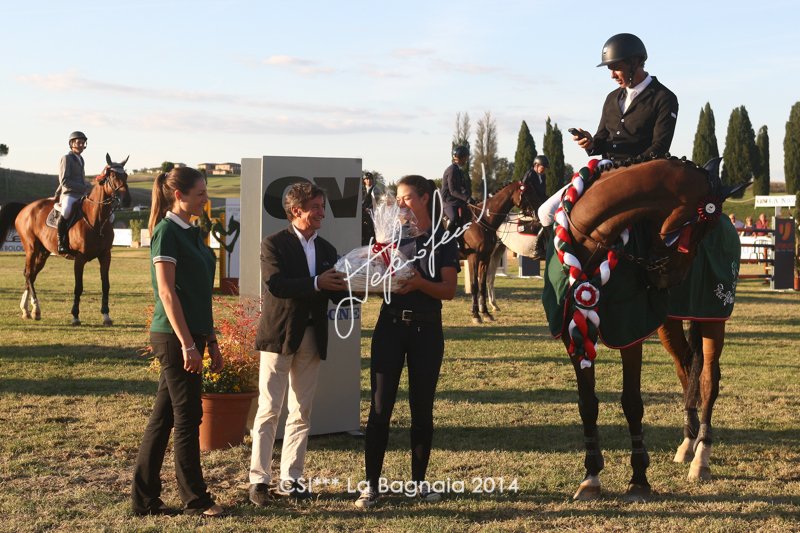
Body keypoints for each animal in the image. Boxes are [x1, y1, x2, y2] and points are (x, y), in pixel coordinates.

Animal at [0, 154, 131, 325]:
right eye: (114, 176)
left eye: (126, 175)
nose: (127, 201)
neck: (97, 219)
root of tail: (26, 208)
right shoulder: (80, 259)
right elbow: (78, 287)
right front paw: (75, 316)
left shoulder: (105, 256)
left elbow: (106, 285)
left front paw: (106, 316)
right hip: (31, 248)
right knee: (28, 274)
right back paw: (36, 309)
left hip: (43, 252)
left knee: (31, 275)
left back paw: (27, 310)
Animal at [459, 180, 544, 324]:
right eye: (529, 192)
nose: (539, 212)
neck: (482, 221)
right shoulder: (473, 258)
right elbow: (474, 285)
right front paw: (476, 315)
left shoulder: (485, 258)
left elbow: (482, 284)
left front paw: (485, 313)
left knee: (490, 279)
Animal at [542, 156, 743, 502]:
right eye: (699, 228)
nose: (669, 279)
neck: (589, 241)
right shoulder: (573, 331)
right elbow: (587, 404)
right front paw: (591, 476)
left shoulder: (629, 331)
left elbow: (632, 402)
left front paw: (639, 479)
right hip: (669, 323)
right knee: (686, 368)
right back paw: (687, 444)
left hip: (712, 318)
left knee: (708, 379)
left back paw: (701, 458)